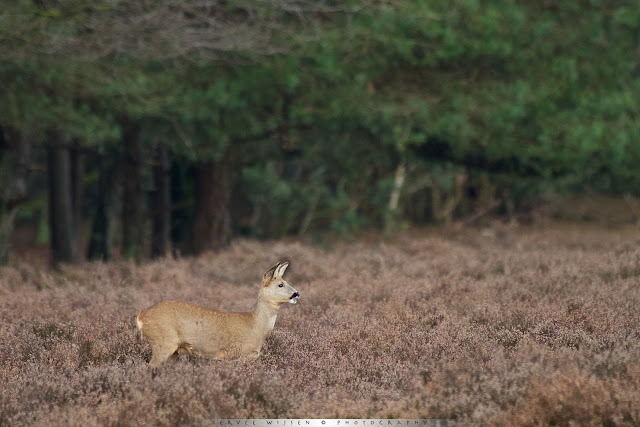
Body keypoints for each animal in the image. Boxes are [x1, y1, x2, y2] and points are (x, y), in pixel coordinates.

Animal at [136, 260, 300, 368]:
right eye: (280, 284)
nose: (296, 294)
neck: (256, 326)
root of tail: (142, 316)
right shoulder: (235, 355)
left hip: (173, 351)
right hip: (162, 342)